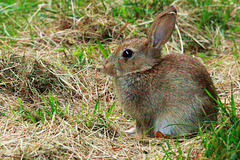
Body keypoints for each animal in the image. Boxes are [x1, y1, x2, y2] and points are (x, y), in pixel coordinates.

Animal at [102, 5, 218, 138]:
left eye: (127, 53)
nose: (106, 66)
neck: (142, 71)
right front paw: (130, 132)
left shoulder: (145, 113)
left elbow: (144, 127)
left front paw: (139, 137)